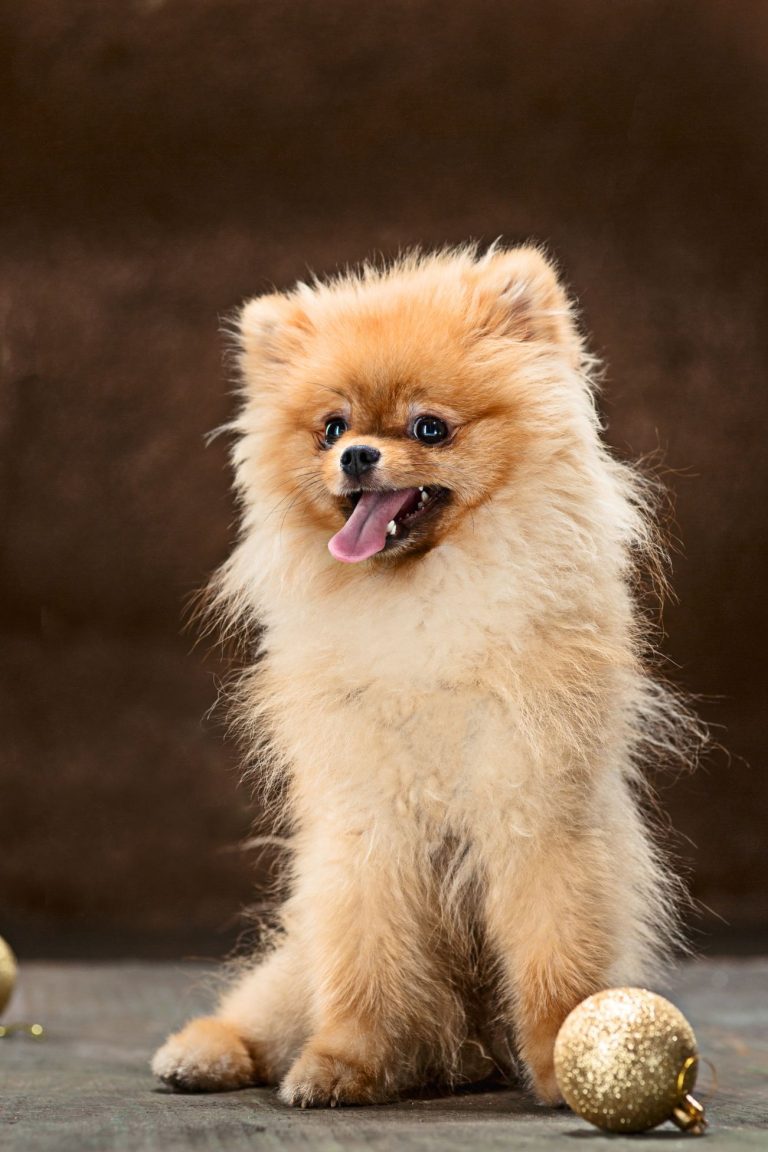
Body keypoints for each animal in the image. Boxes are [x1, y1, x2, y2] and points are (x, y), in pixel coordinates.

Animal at [151, 243, 695, 1105]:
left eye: (429, 428)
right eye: (332, 428)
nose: (356, 455)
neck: (423, 599)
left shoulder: (534, 812)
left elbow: (555, 956)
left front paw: (564, 1060)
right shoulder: (368, 829)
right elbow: (363, 967)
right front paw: (344, 1064)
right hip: (296, 957)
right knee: (267, 1007)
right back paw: (205, 1051)